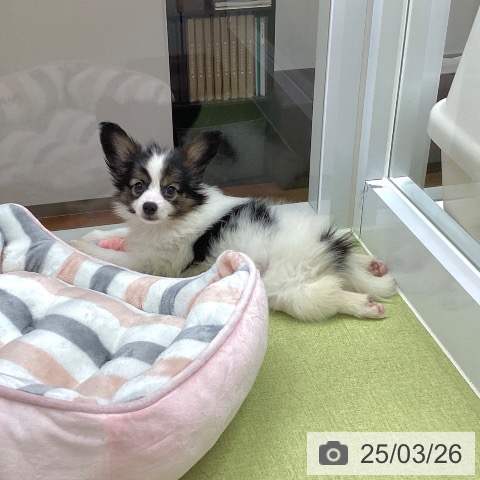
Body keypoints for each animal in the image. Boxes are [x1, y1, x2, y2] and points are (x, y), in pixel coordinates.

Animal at [71, 122, 395, 321]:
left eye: (170, 190)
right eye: (138, 187)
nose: (149, 207)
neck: (168, 221)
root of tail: (331, 249)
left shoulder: (149, 262)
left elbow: (112, 257)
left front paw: (77, 244)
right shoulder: (140, 232)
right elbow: (118, 230)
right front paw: (90, 235)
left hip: (287, 286)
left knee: (329, 295)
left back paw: (363, 305)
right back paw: (371, 264)